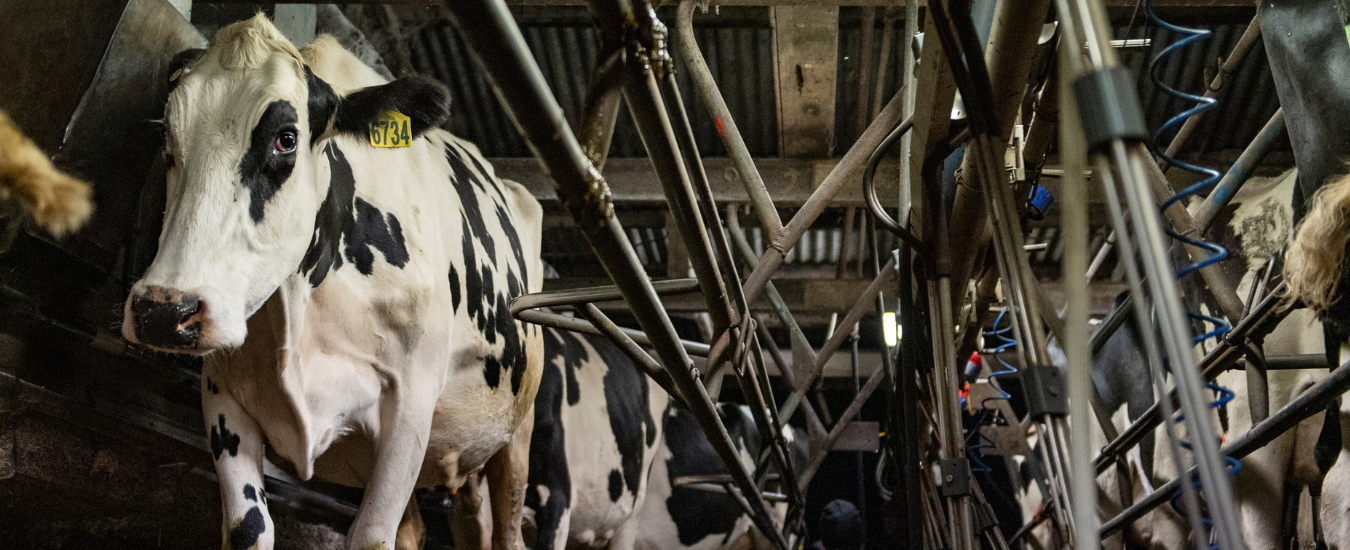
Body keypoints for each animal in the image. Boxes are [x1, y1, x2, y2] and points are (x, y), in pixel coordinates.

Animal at [120, 16, 542, 550]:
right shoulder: (222, 394)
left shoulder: (411, 405)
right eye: (168, 138)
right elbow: (249, 528)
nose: (162, 311)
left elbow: (372, 536)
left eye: (285, 139)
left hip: (518, 433)